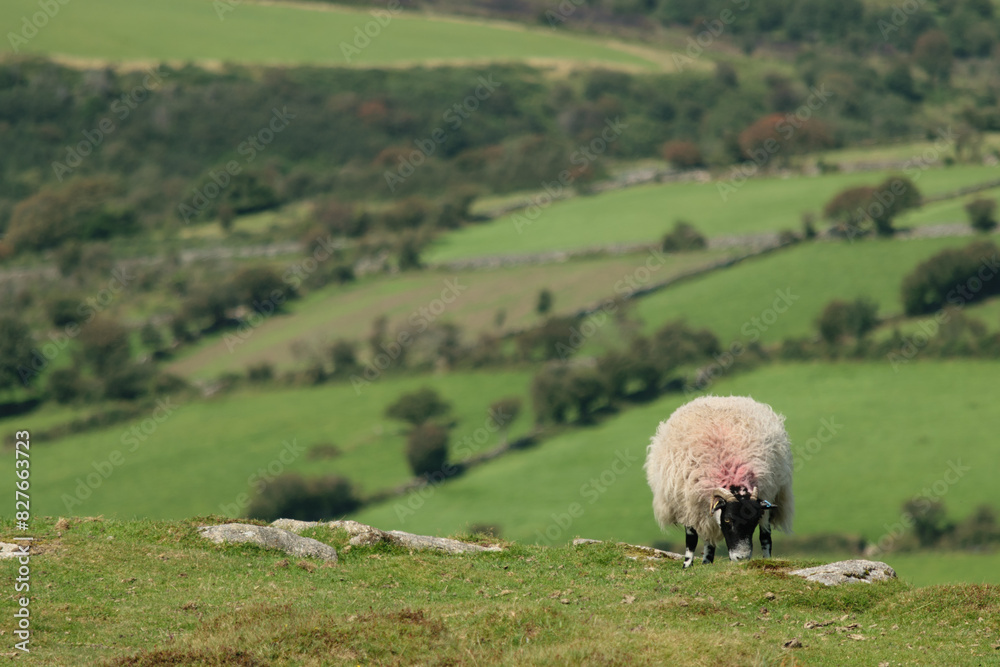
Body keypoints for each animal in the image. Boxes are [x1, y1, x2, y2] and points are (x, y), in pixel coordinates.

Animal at [644, 395, 793, 568]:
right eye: (728, 519)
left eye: (754, 521)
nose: (741, 558)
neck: (731, 474)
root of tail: (720, 398)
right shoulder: (688, 506)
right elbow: (691, 539)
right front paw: (687, 566)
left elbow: (764, 536)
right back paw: (706, 562)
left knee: (765, 536)